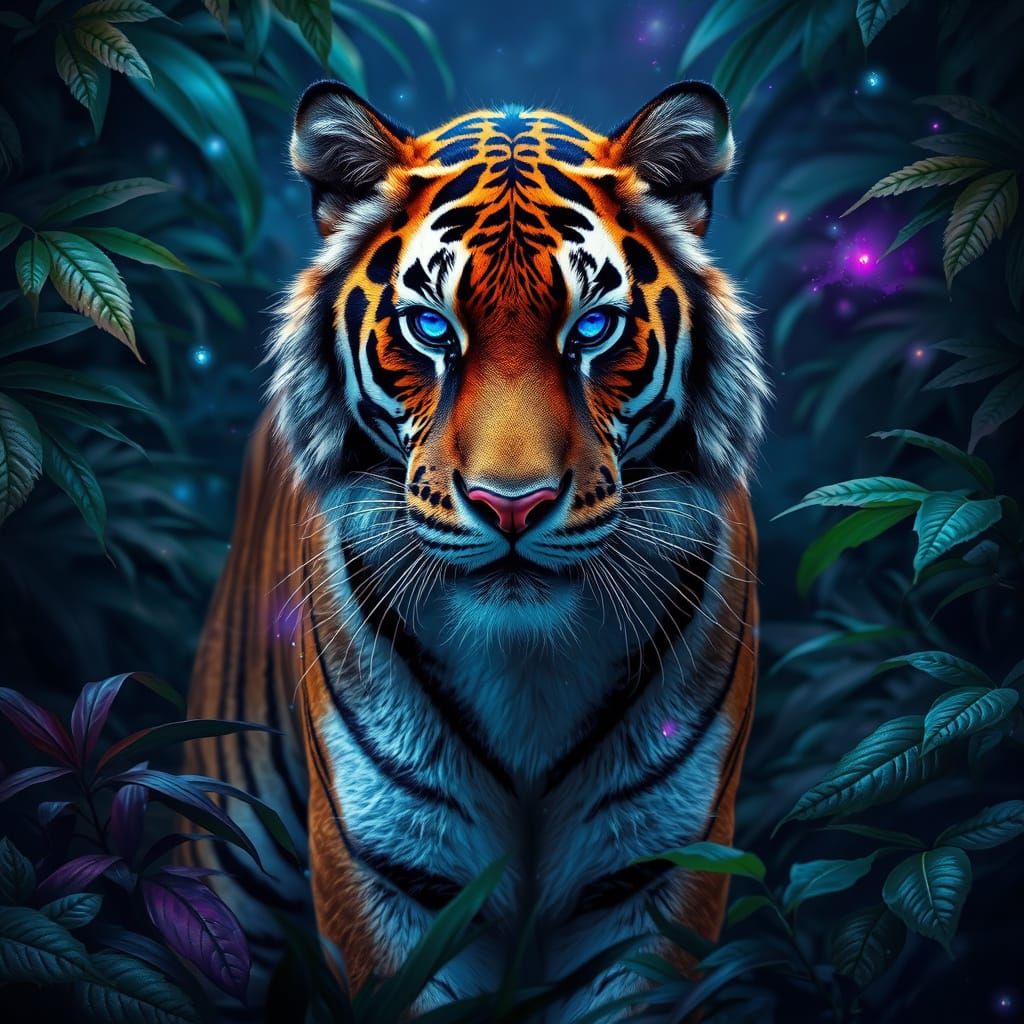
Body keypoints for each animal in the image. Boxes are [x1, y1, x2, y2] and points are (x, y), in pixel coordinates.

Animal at [184, 79, 767, 1018]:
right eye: (431, 328)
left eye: (593, 329)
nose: (511, 505)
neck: (529, 669)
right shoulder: (388, 875)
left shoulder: (657, 876)